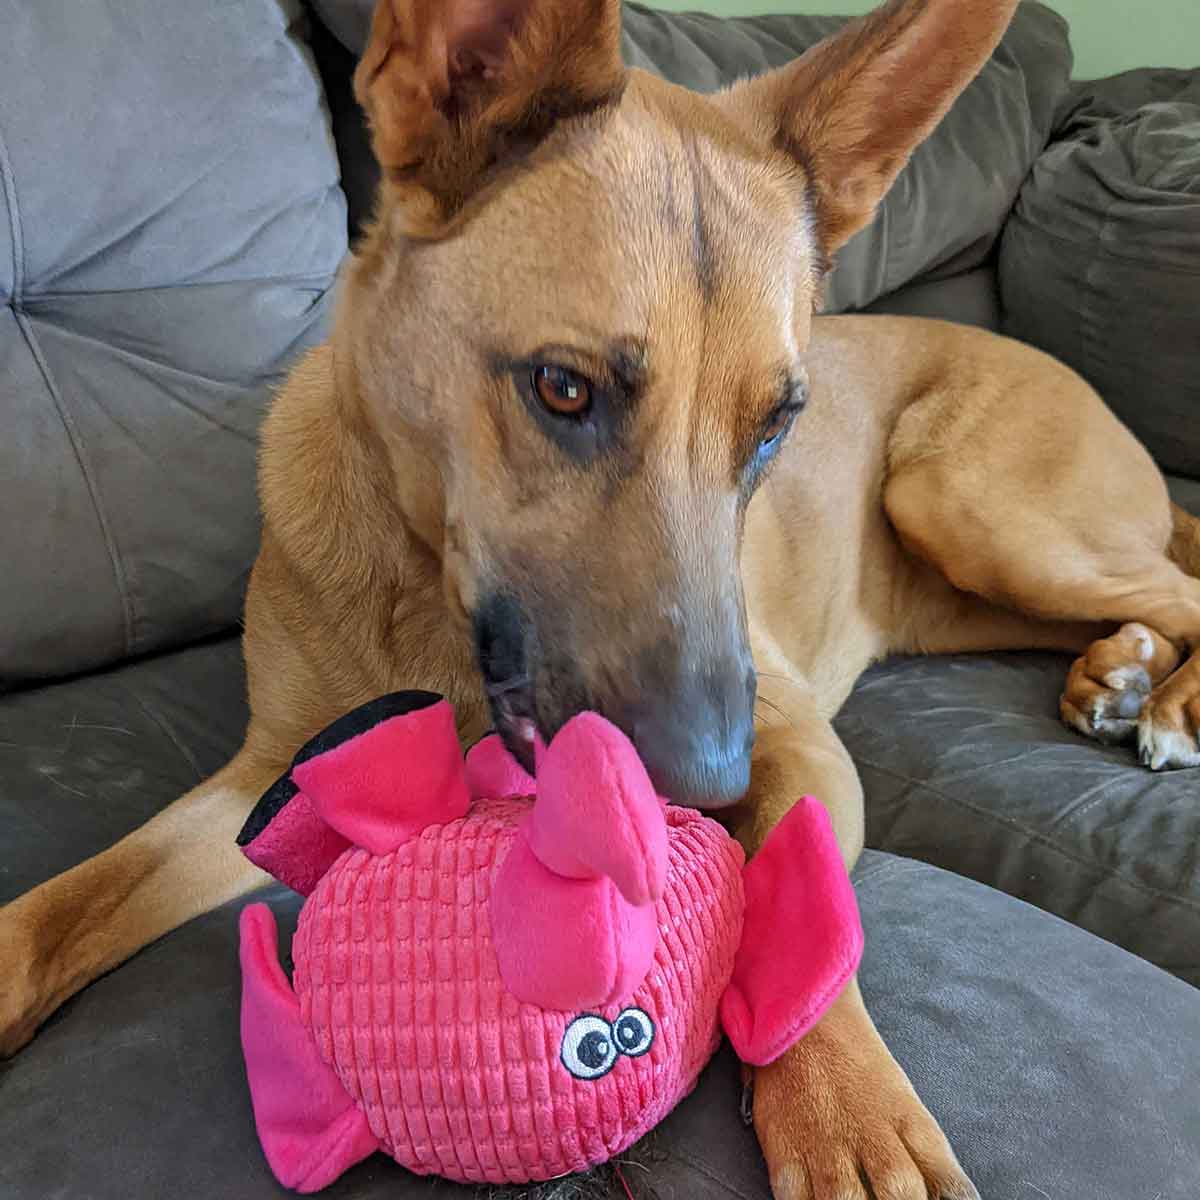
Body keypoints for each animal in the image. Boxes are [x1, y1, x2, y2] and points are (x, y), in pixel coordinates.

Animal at [2, 0, 1200, 1195]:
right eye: (562, 388)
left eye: (776, 426)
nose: (706, 794)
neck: (430, 596)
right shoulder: (265, 778)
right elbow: (61, 912)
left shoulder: (799, 743)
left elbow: (798, 898)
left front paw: (846, 1106)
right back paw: (1121, 671)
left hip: (967, 504)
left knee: (1179, 579)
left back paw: (1163, 701)